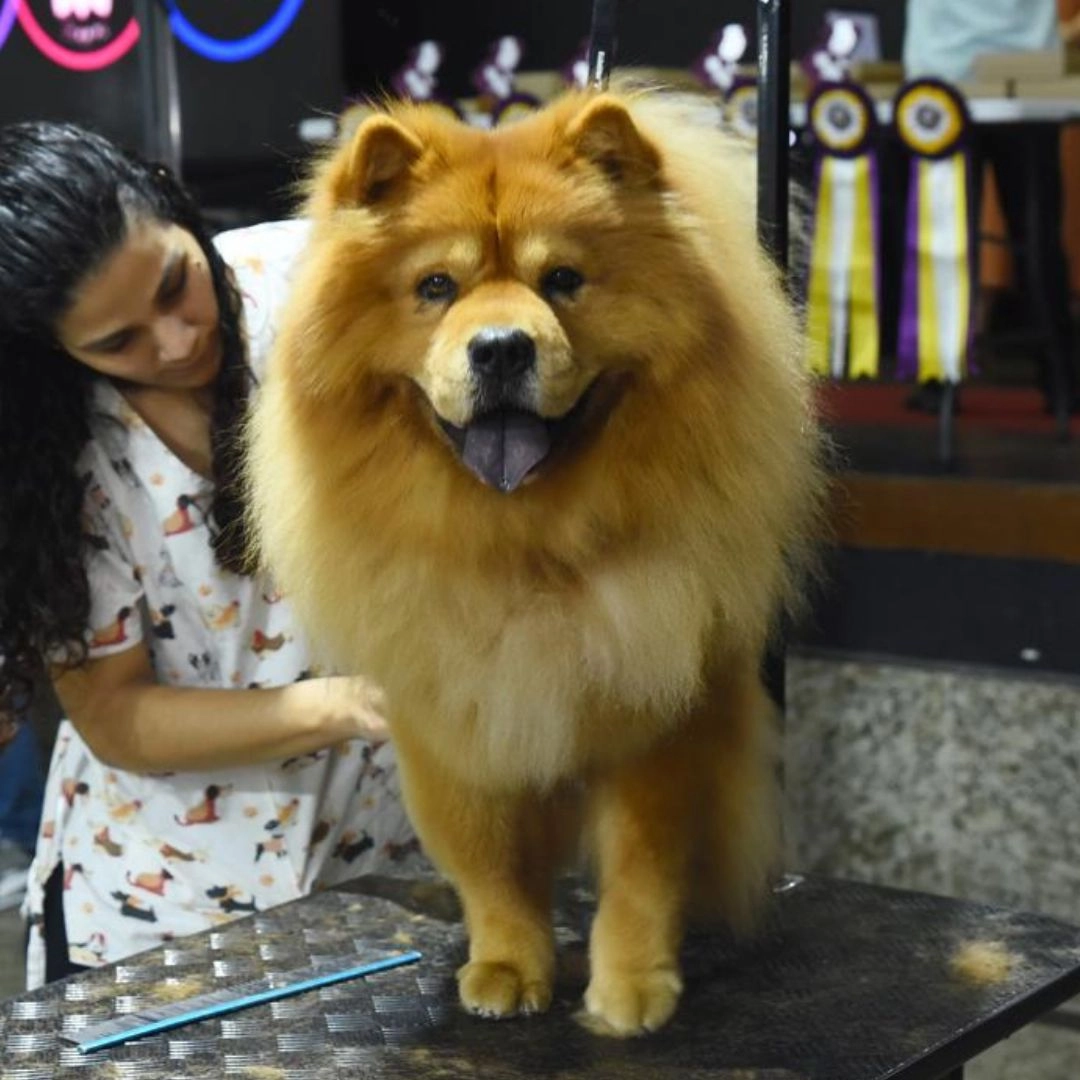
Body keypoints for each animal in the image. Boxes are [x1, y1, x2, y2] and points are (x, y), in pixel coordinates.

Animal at [248, 88, 825, 1032]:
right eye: (436, 288)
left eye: (563, 280)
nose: (501, 346)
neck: (525, 547)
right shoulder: (453, 715)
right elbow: (489, 862)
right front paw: (508, 968)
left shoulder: (657, 712)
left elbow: (641, 863)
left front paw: (631, 988)